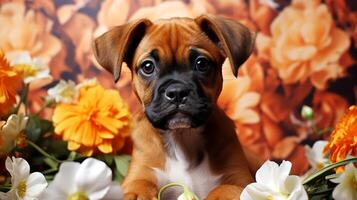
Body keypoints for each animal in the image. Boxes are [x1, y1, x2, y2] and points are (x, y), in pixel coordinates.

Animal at [92, 14, 258, 200]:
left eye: (202, 63)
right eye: (147, 67)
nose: (177, 91)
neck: (182, 137)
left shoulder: (240, 182)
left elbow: (223, 190)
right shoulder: (139, 177)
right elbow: (138, 188)